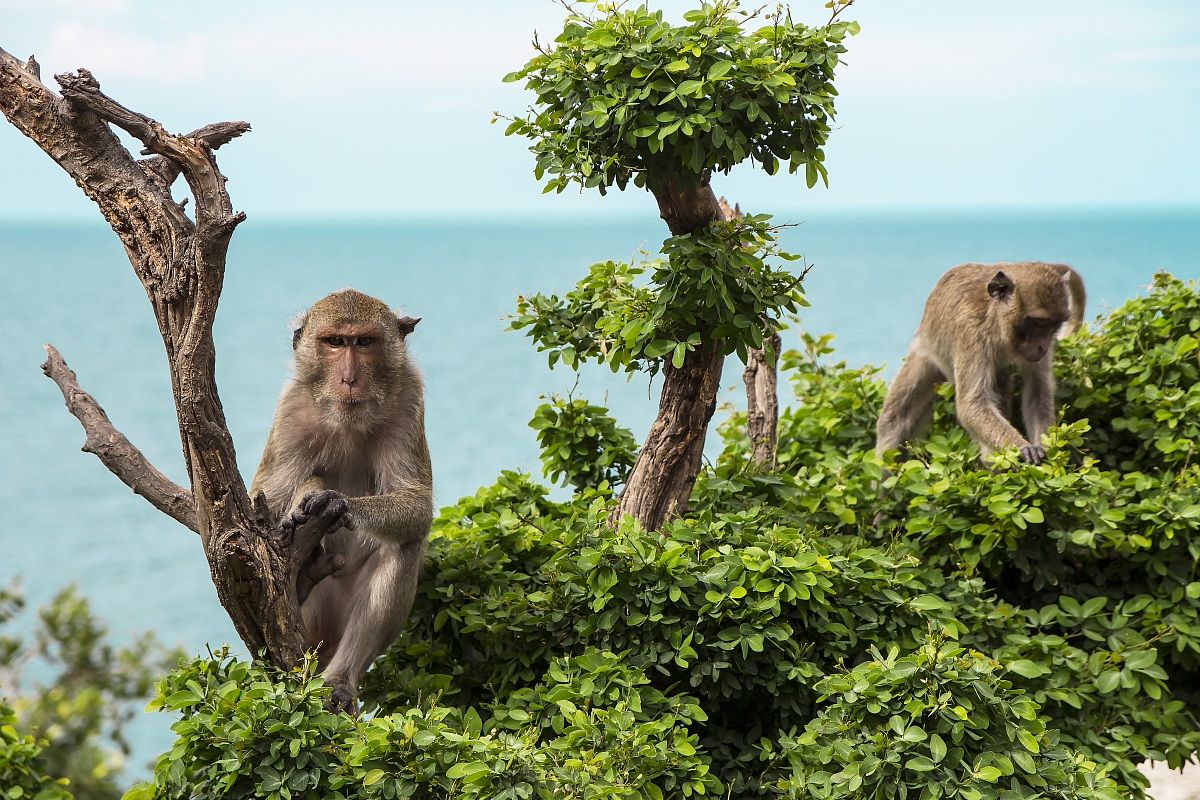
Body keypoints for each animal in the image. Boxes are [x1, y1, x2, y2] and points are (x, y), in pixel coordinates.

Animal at [250, 288, 433, 712]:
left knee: (403, 544)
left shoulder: (409, 397)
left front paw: (339, 504)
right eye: (334, 342)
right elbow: (258, 508)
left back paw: (339, 681)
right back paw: (301, 581)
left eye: (364, 342)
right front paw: (305, 501)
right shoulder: (290, 409)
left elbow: (417, 504)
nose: (349, 378)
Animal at [875, 261, 1086, 465]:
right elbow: (972, 404)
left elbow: (1038, 393)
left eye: (1053, 325)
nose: (1043, 347)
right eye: (1039, 323)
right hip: (926, 352)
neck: (996, 321)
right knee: (893, 422)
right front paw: (1025, 448)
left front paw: (1046, 446)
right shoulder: (971, 333)